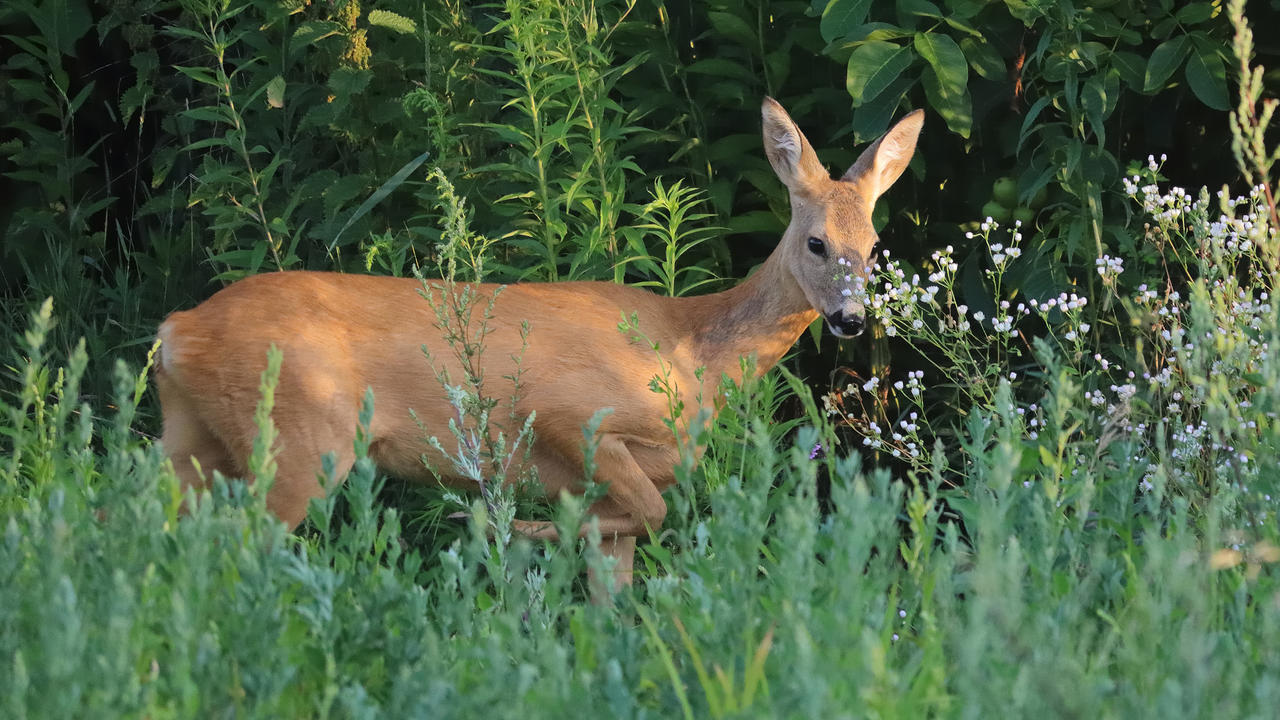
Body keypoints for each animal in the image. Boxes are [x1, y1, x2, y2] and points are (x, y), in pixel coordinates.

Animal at [157, 99, 921, 594]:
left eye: (873, 245)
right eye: (817, 242)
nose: (851, 320)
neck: (689, 356)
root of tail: (176, 333)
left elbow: (620, 581)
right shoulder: (572, 414)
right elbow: (651, 515)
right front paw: (509, 527)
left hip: (194, 439)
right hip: (298, 438)